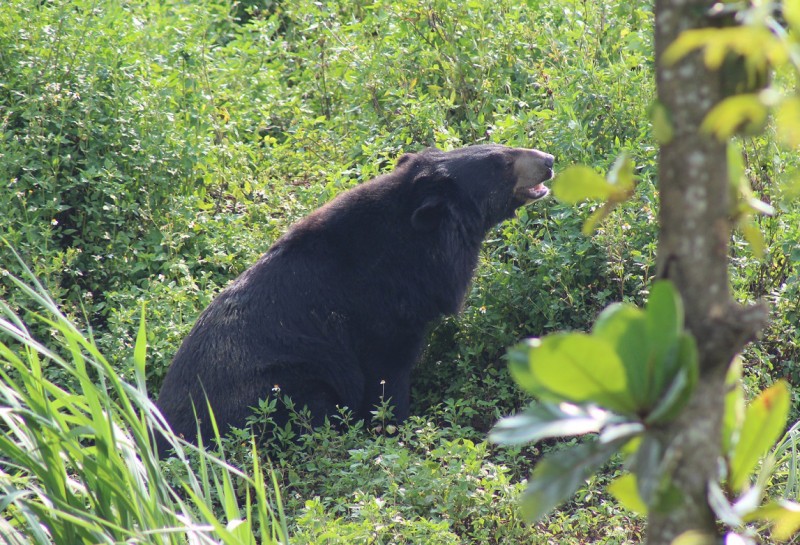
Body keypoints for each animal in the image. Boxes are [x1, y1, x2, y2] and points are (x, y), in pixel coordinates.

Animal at [156, 142, 556, 448]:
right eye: (504, 163)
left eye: (502, 147)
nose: (549, 161)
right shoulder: (380, 309)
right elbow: (386, 373)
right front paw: (396, 428)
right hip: (279, 388)